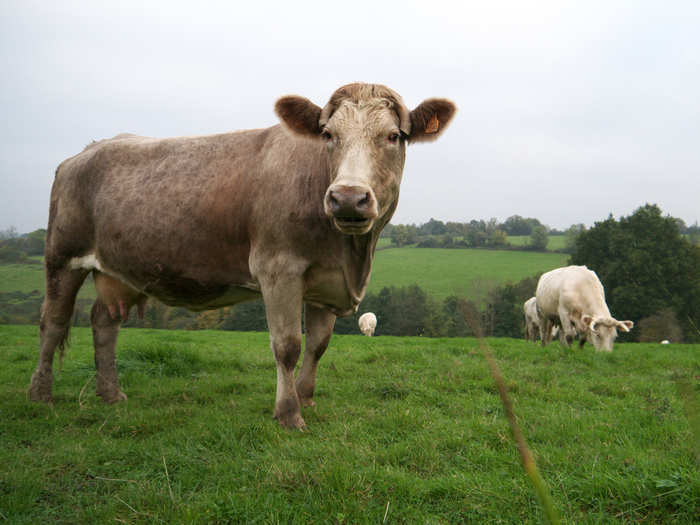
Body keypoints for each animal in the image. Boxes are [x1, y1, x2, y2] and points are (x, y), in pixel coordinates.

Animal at [27, 82, 456, 426]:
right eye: (328, 134)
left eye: (393, 136)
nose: (348, 197)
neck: (351, 254)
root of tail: (85, 151)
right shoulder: (278, 268)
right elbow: (288, 345)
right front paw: (288, 414)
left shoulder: (326, 281)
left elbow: (318, 345)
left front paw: (306, 398)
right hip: (62, 257)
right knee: (53, 322)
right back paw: (41, 396)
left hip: (120, 269)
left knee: (104, 323)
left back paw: (111, 394)